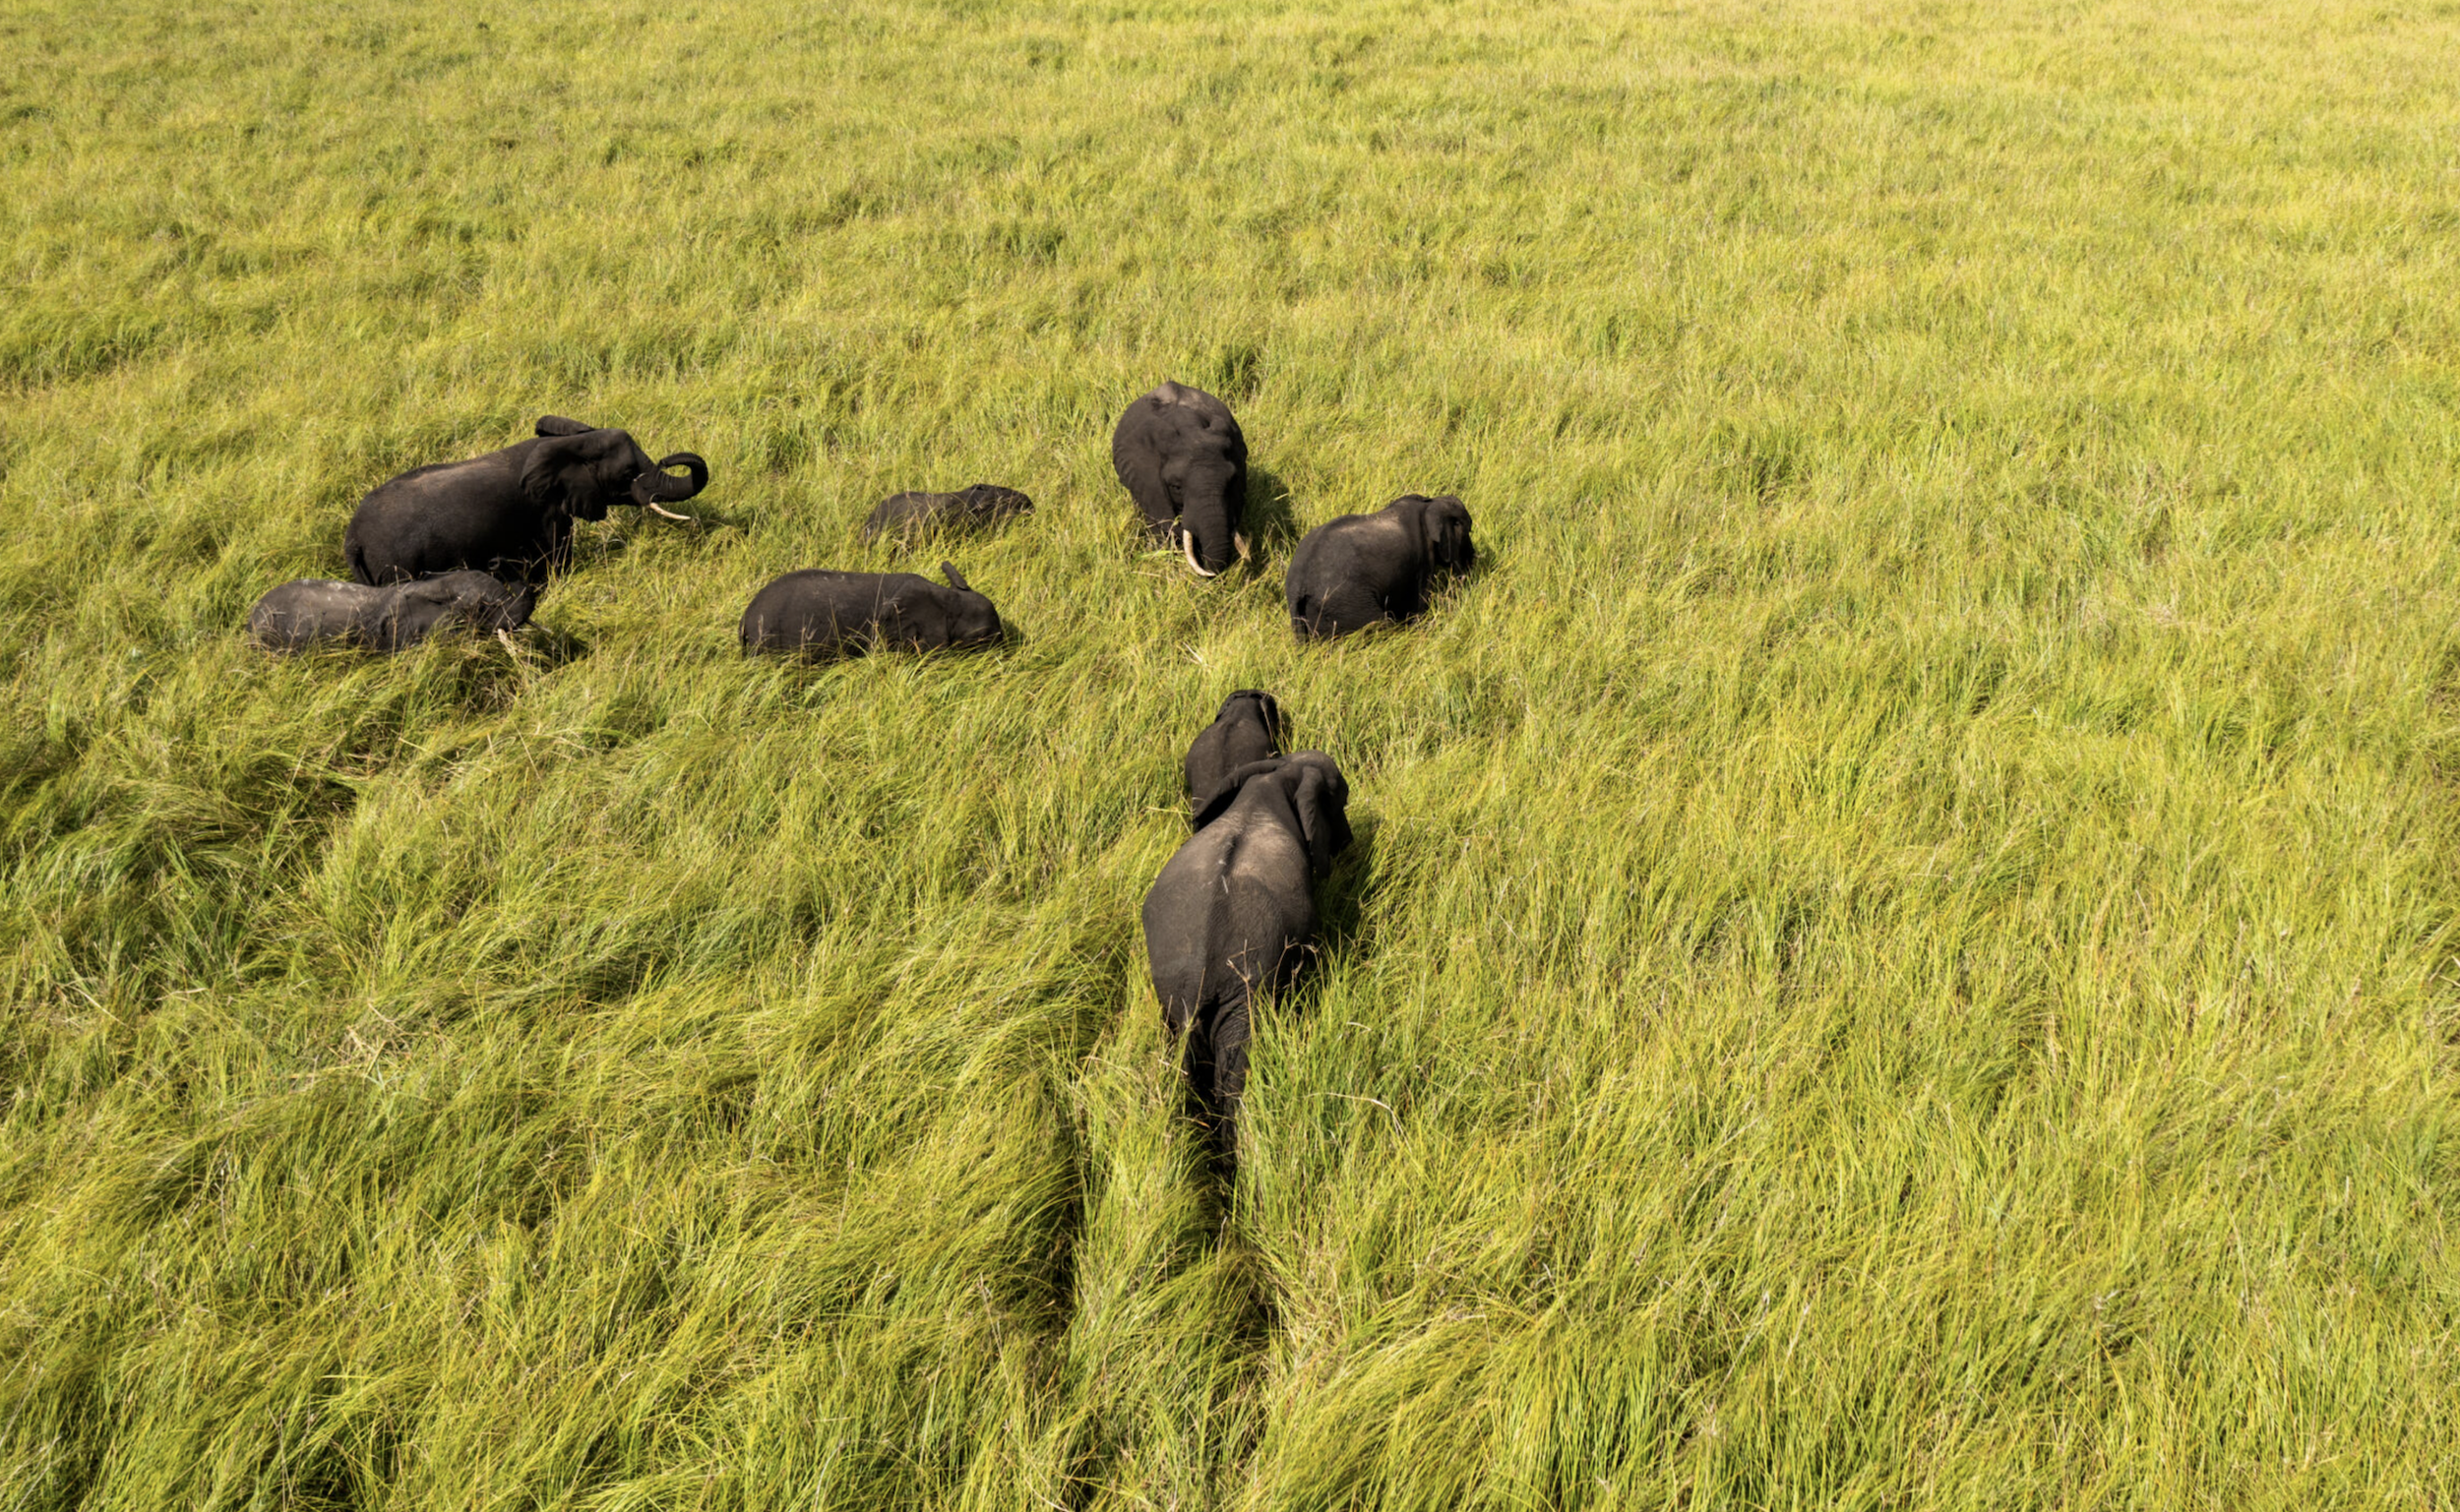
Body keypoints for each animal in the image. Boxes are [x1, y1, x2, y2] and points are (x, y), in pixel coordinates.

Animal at [344, 416, 709, 586]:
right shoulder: (547, 509)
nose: (668, 459)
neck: (573, 442)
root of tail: (353, 539)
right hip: (395, 564)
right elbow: (555, 556)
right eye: (628, 472)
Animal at [1141, 751, 1353, 1146]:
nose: (1348, 843)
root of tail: (1200, 974)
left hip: (1175, 998)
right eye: (1341, 798)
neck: (1276, 775)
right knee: (1234, 1072)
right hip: (1243, 996)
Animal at [1285, 494, 1476, 640]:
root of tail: (1299, 588)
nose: (1473, 561)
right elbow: (1416, 604)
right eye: (1468, 531)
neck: (1429, 503)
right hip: (1347, 606)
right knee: (1380, 624)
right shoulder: (1421, 557)